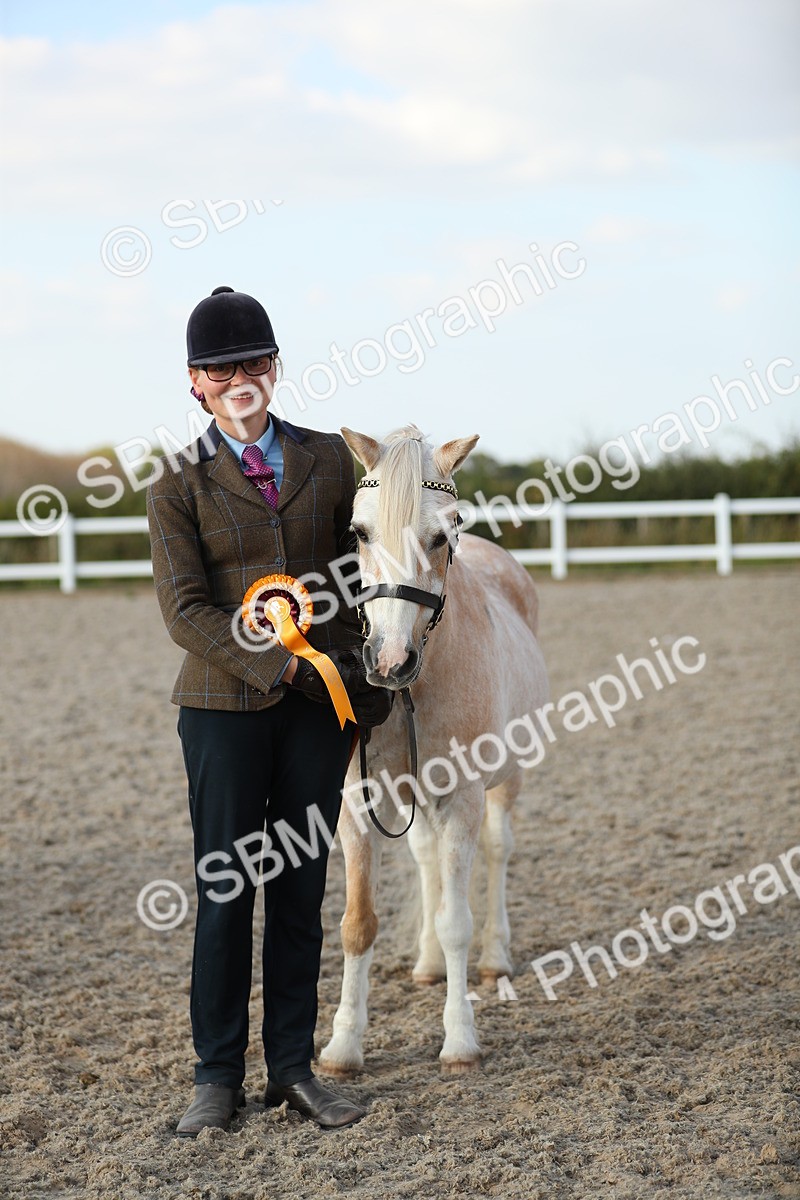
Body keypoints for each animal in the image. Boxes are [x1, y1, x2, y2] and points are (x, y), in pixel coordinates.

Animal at [319, 424, 549, 1074]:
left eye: (442, 534)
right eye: (358, 531)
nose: (389, 662)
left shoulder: (463, 798)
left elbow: (456, 923)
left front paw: (461, 1040)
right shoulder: (357, 804)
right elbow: (357, 924)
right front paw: (343, 1046)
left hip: (507, 781)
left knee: (498, 850)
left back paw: (496, 958)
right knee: (425, 858)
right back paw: (424, 965)